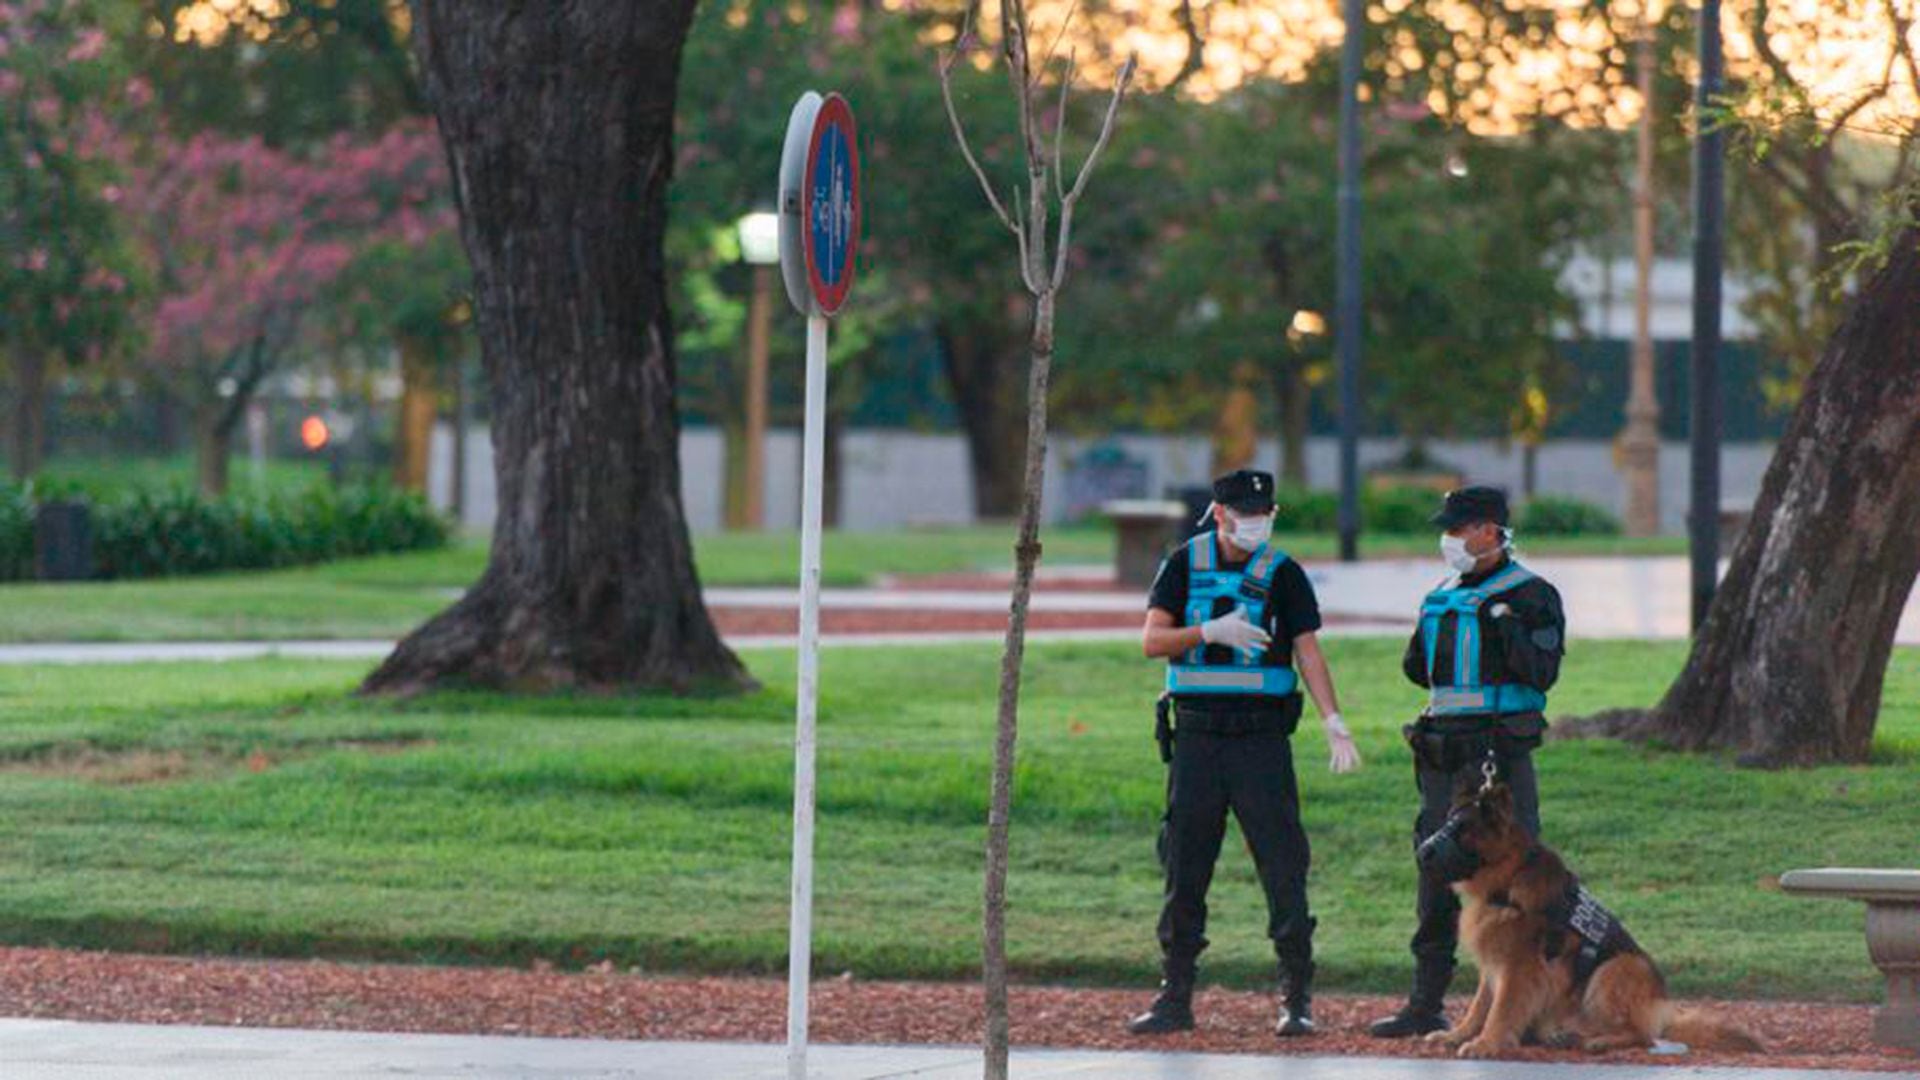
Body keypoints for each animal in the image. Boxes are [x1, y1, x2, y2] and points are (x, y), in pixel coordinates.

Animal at [1413, 776, 1766, 1053]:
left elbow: (1500, 1010)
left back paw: (1599, 1042)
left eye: (1462, 829)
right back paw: (1567, 1036)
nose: (1421, 851)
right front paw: (1458, 1035)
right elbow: (1479, 1006)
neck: (1508, 879)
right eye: (1446, 824)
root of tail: (1662, 1011)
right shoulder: (1493, 964)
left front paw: (1487, 1043)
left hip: (1617, 968)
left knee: (1643, 1036)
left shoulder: (1519, 968)